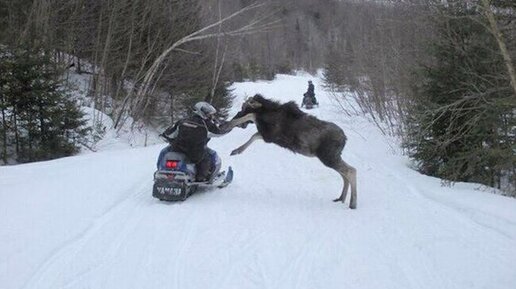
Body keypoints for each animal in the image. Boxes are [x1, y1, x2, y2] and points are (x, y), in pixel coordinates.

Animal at [222, 93, 358, 208]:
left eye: (244, 107)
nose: (235, 117)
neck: (266, 113)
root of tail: (344, 138)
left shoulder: (270, 135)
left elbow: (252, 123)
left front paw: (227, 125)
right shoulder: (268, 135)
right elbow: (254, 135)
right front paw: (237, 150)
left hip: (328, 157)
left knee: (351, 170)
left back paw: (352, 203)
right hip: (333, 157)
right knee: (344, 174)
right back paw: (341, 198)